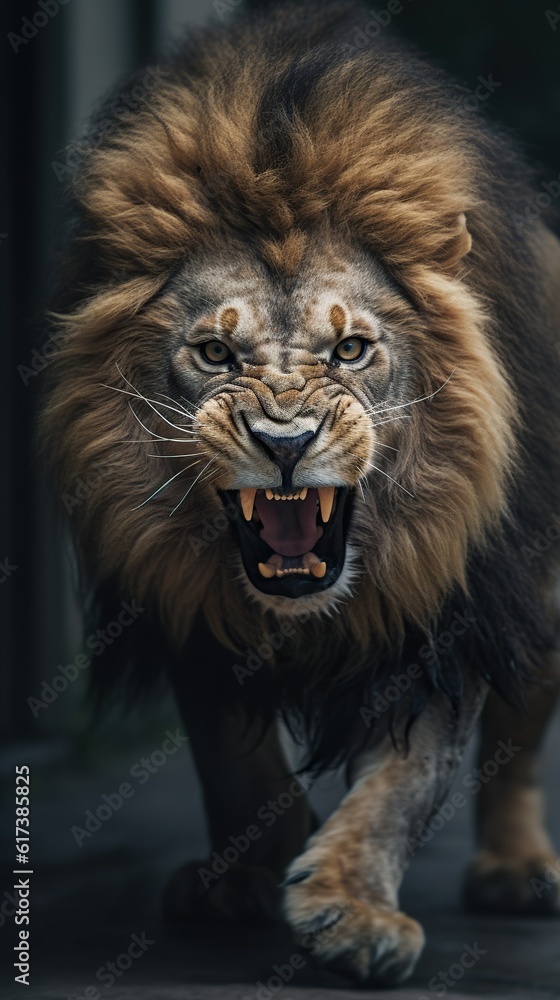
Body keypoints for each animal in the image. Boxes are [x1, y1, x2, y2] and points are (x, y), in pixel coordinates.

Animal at [42, 0, 560, 986]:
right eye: (216, 354)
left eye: (351, 349)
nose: (284, 445)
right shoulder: (179, 597)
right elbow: (228, 750)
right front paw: (246, 875)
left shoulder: (446, 601)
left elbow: (412, 776)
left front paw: (353, 911)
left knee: (517, 746)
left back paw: (516, 871)